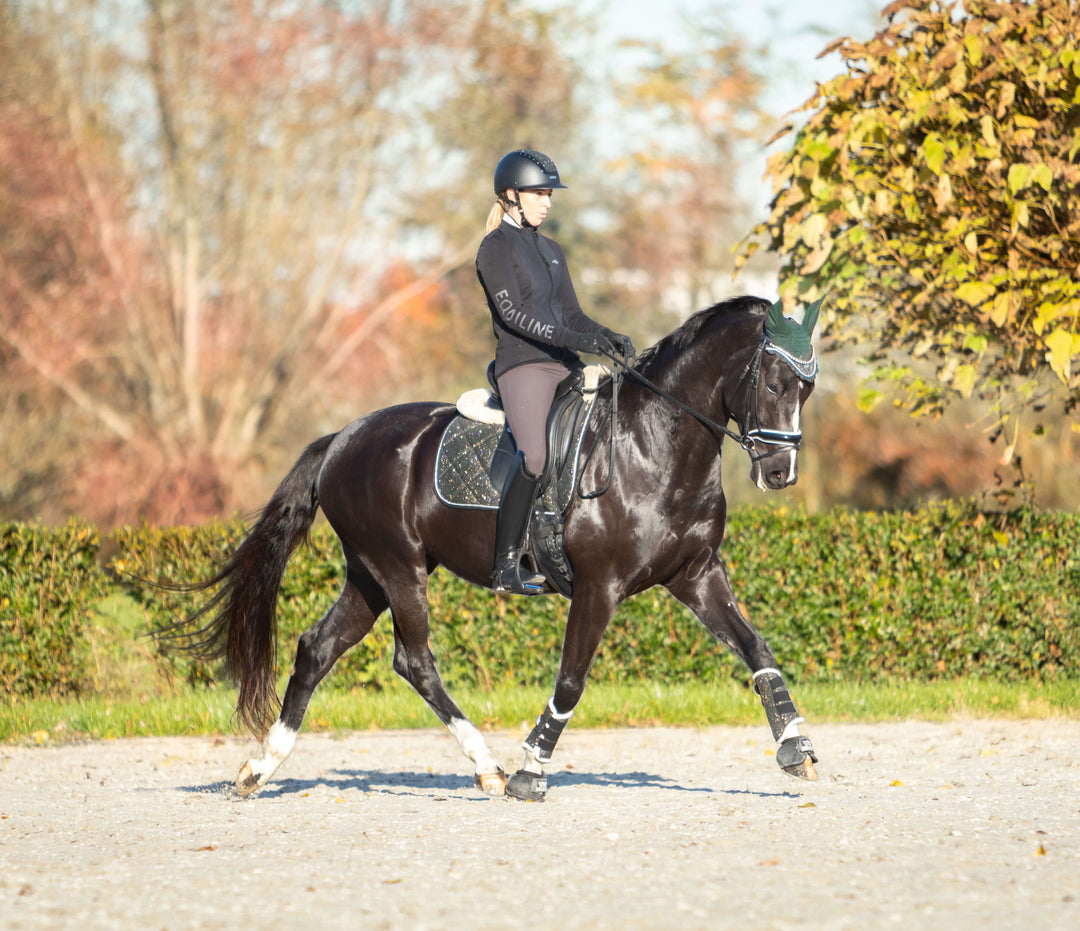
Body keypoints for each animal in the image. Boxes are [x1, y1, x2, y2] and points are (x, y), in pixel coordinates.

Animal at [177, 298, 816, 803]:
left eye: (807, 388)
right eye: (773, 383)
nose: (781, 473)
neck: (653, 445)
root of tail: (342, 439)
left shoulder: (696, 574)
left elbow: (755, 646)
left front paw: (795, 746)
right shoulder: (599, 586)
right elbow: (571, 680)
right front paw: (532, 769)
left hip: (369, 575)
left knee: (317, 648)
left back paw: (261, 768)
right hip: (398, 568)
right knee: (414, 660)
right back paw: (488, 767)